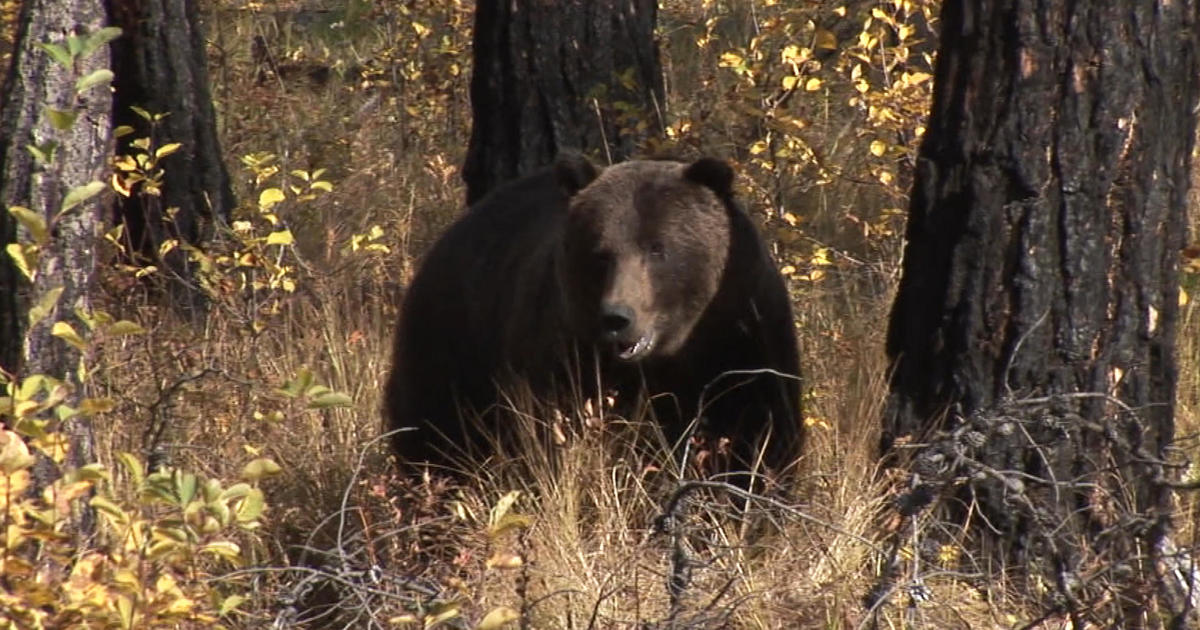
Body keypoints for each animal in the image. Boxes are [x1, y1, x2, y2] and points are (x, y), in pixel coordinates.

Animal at [384, 154, 801, 480]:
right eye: (601, 253)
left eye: (657, 249)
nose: (617, 317)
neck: (671, 354)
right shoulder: (563, 351)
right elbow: (550, 433)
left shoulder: (739, 340)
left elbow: (757, 435)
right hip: (451, 350)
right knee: (434, 441)